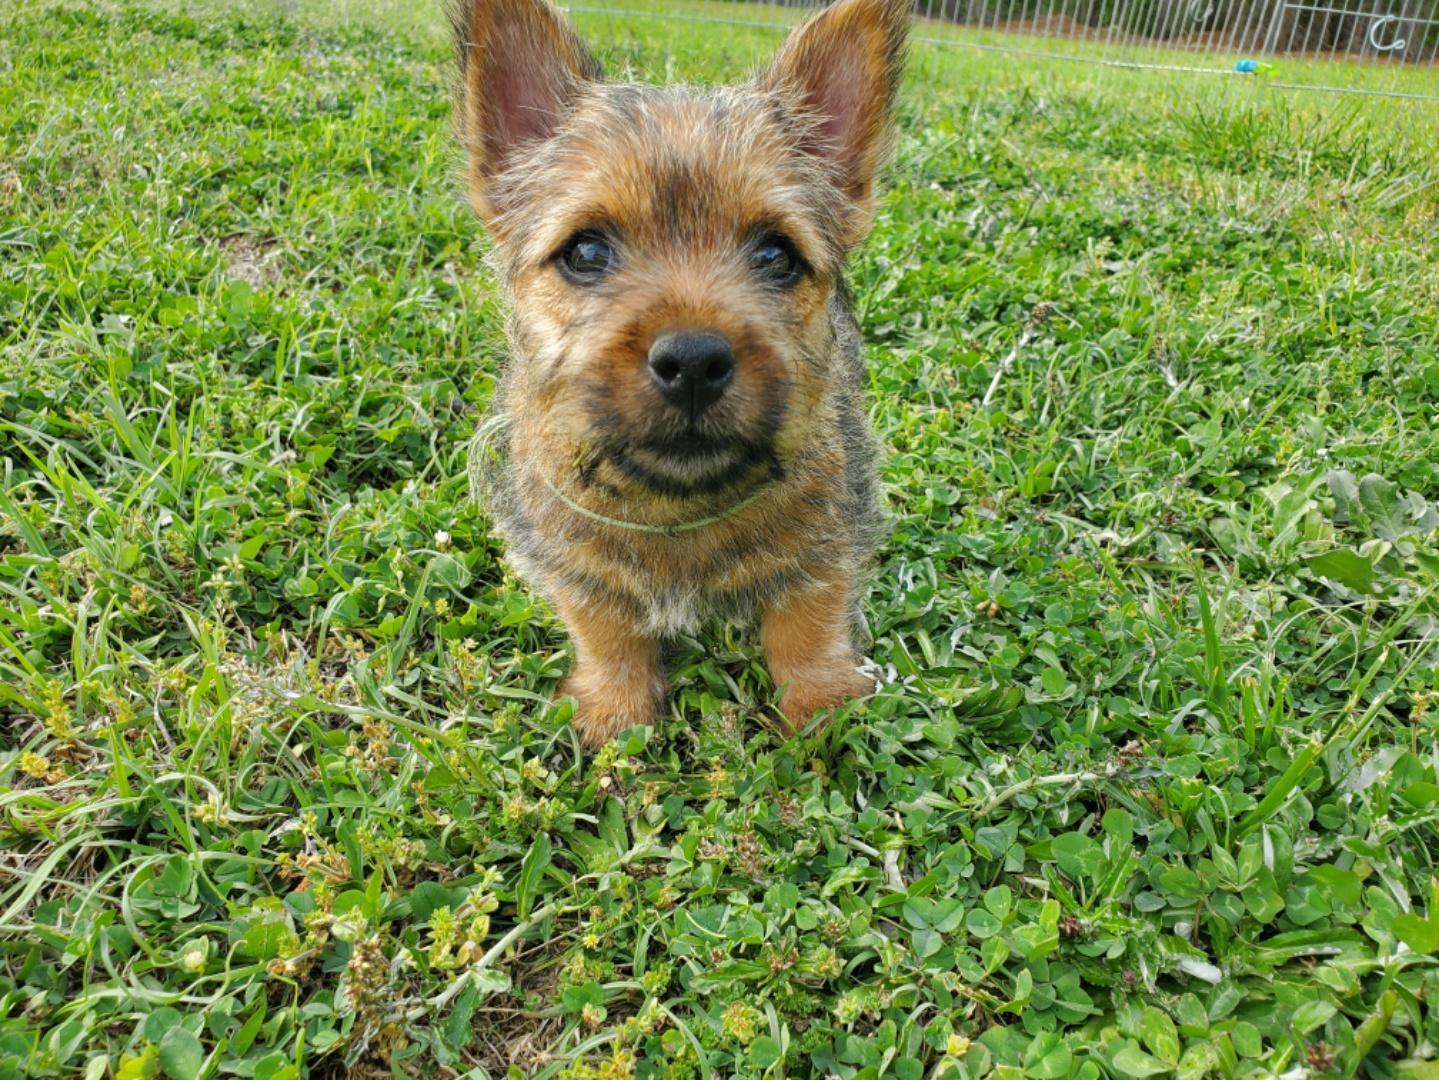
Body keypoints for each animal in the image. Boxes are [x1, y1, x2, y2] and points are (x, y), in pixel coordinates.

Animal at [453, 0, 908, 748]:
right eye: (585, 252)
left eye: (776, 256)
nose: (693, 360)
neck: (678, 503)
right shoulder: (574, 565)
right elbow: (605, 631)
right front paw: (615, 710)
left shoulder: (830, 540)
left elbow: (807, 624)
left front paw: (822, 705)